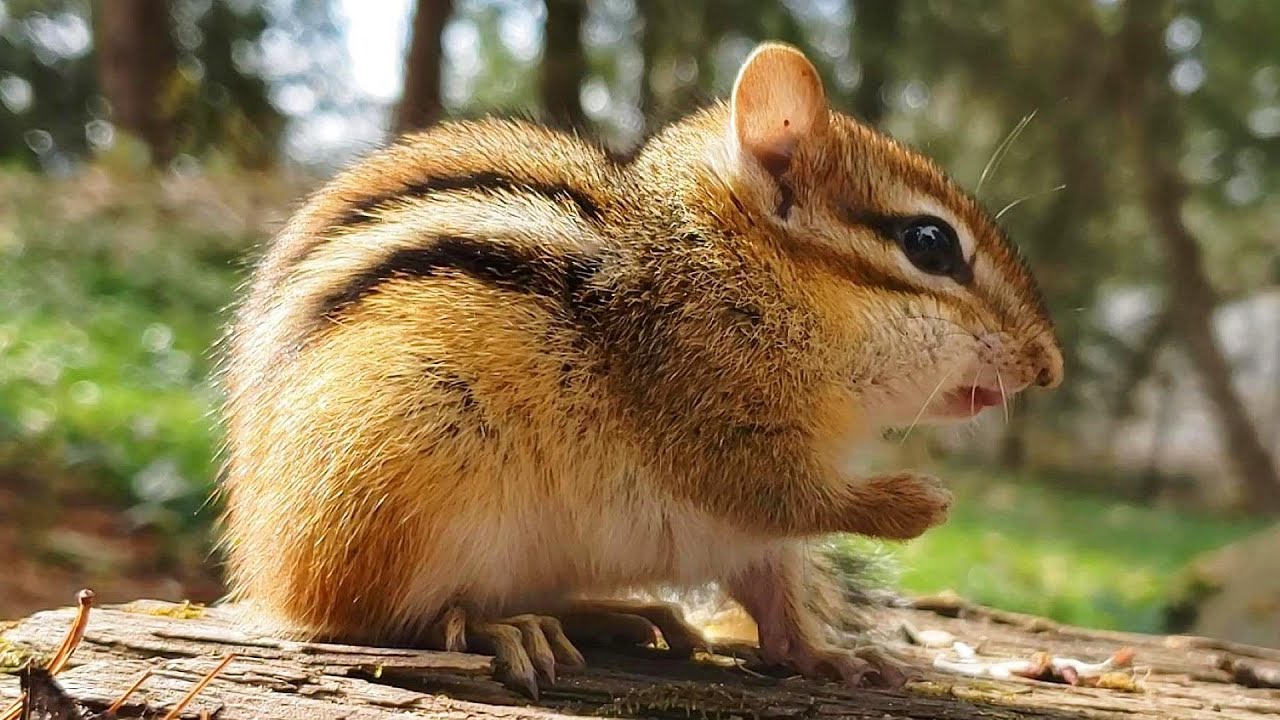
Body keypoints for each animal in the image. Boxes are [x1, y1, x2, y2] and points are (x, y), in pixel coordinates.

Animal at [218, 42, 1063, 698]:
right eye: (929, 244)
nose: (1049, 366)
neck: (738, 270)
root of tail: (265, 566)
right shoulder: (707, 410)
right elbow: (783, 494)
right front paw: (913, 502)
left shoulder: (748, 536)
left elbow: (779, 590)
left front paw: (833, 657)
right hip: (405, 476)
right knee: (378, 615)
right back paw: (502, 626)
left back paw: (622, 614)